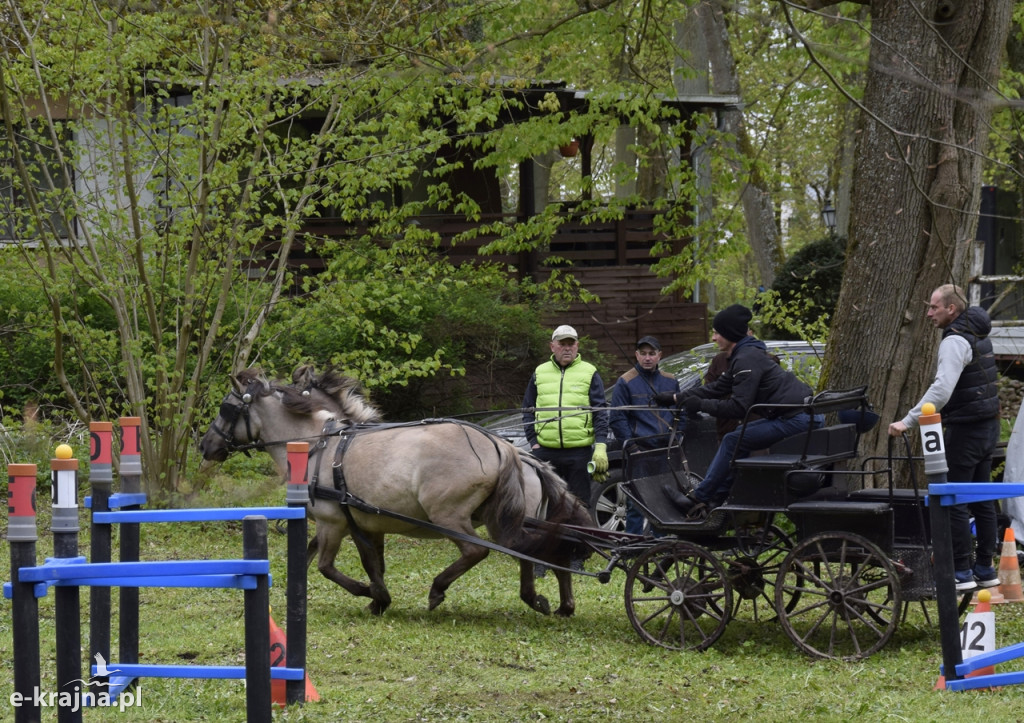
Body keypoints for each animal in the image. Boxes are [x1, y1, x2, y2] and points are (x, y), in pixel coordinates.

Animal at [197, 366, 593, 614]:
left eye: (226, 408)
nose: (205, 445)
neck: (318, 445)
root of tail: (503, 446)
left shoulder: (332, 522)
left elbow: (326, 566)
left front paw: (369, 594)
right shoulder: (364, 524)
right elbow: (369, 563)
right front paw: (378, 598)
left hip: (449, 517)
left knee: (477, 551)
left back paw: (438, 589)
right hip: (514, 518)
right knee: (538, 552)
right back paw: (551, 602)